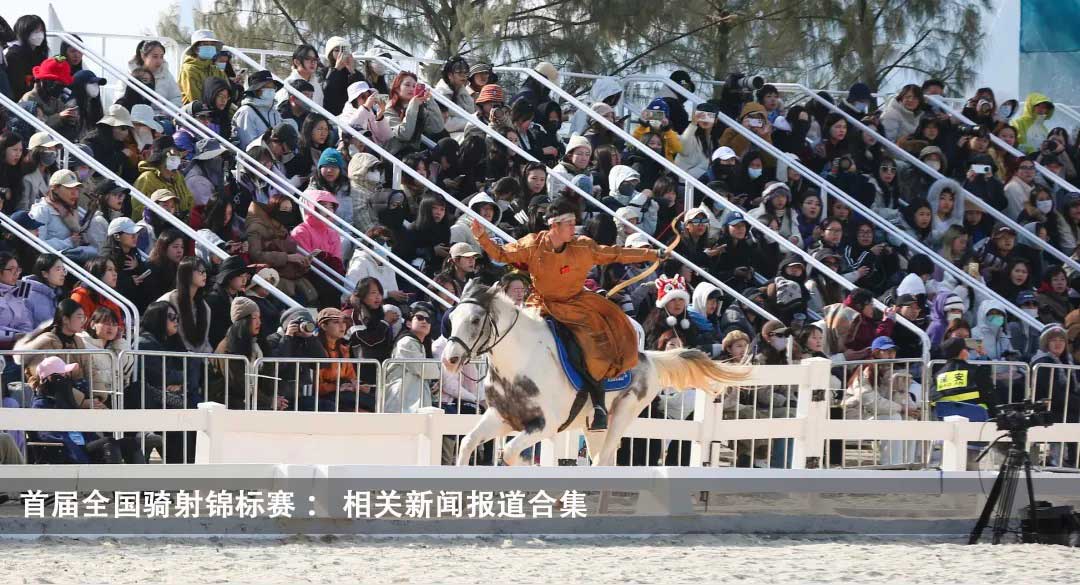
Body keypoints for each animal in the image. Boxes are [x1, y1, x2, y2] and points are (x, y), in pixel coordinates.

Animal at [440, 280, 751, 468]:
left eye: (475, 320)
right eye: (452, 318)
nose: (450, 360)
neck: (520, 360)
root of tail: (648, 358)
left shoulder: (544, 425)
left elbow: (510, 453)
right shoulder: (501, 417)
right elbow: (468, 443)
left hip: (621, 415)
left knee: (603, 460)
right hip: (592, 427)